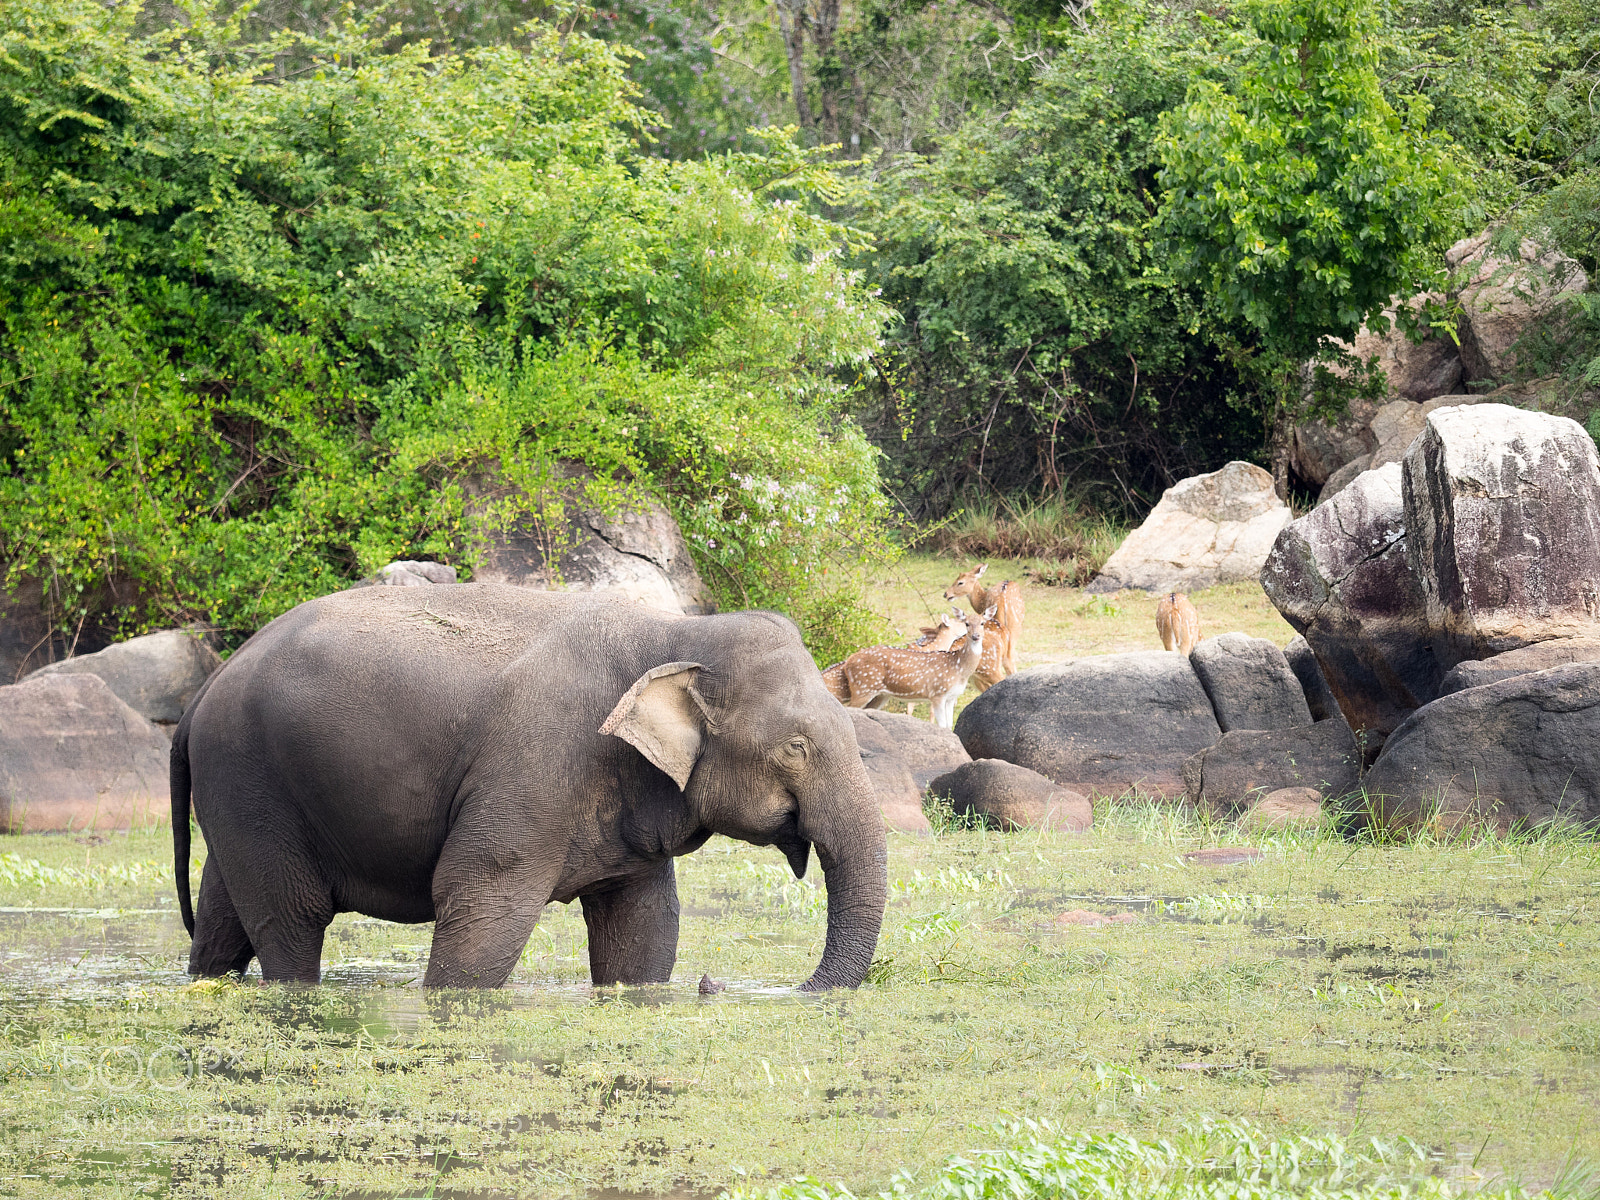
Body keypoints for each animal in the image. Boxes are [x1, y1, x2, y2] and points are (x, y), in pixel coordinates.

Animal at [170, 585, 887, 990]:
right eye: (796, 746)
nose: (712, 984)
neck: (675, 631)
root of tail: (204, 690)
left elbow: (644, 925)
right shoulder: (535, 768)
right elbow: (479, 903)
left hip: (242, 794)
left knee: (223, 920)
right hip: (250, 775)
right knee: (292, 922)